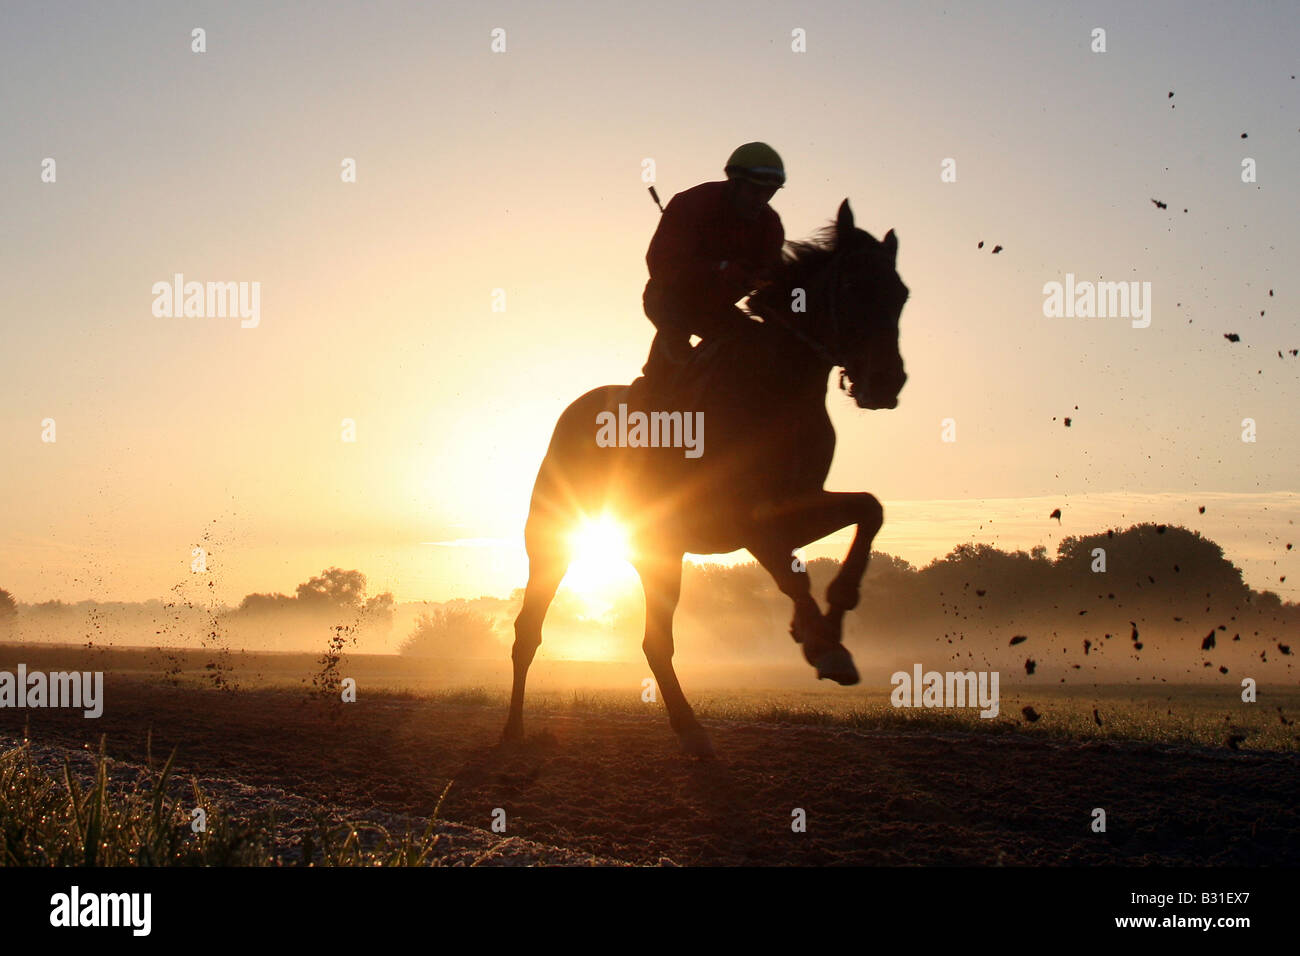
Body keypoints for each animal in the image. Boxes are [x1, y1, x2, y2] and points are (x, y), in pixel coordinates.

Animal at [503, 199, 909, 756]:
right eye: (851, 285)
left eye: (901, 294)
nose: (887, 381)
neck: (775, 387)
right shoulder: (744, 519)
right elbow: (790, 573)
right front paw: (820, 641)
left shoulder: (792, 505)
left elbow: (868, 509)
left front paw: (828, 626)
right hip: (552, 543)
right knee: (529, 631)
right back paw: (512, 731)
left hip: (660, 553)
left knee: (654, 642)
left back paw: (692, 730)